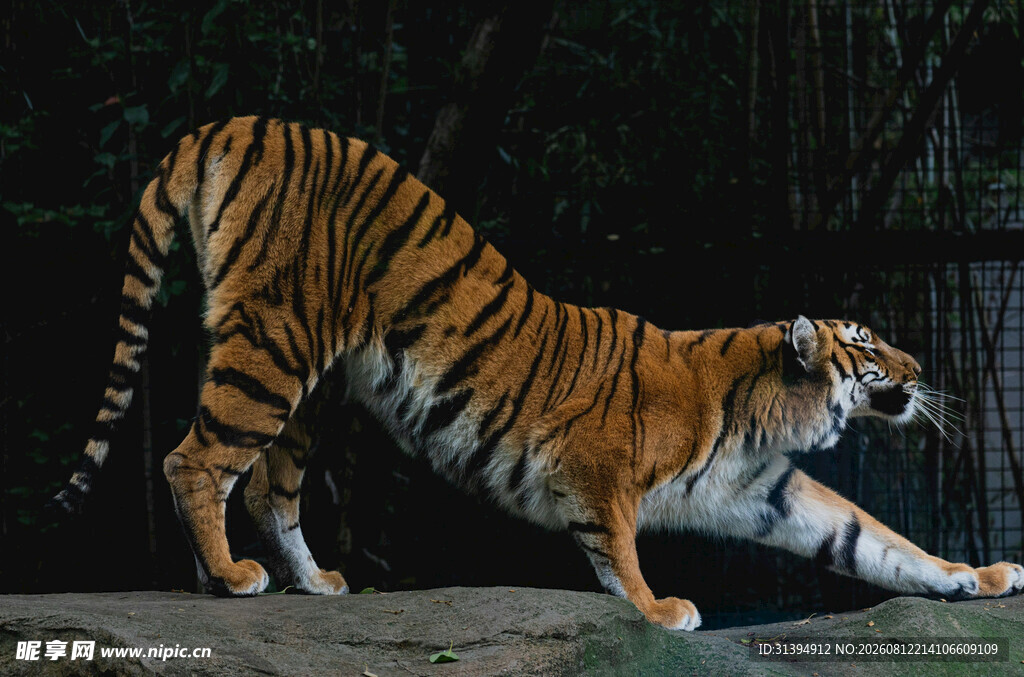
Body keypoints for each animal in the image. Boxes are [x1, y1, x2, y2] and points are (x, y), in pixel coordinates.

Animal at [51, 116, 1023, 630]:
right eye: (867, 342)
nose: (921, 364)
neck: (764, 410)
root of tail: (233, 122)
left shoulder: (770, 490)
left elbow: (875, 540)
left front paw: (979, 577)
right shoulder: (595, 466)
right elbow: (617, 545)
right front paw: (661, 609)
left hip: (310, 385)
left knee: (265, 486)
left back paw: (302, 580)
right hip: (273, 348)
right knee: (193, 458)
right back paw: (229, 577)